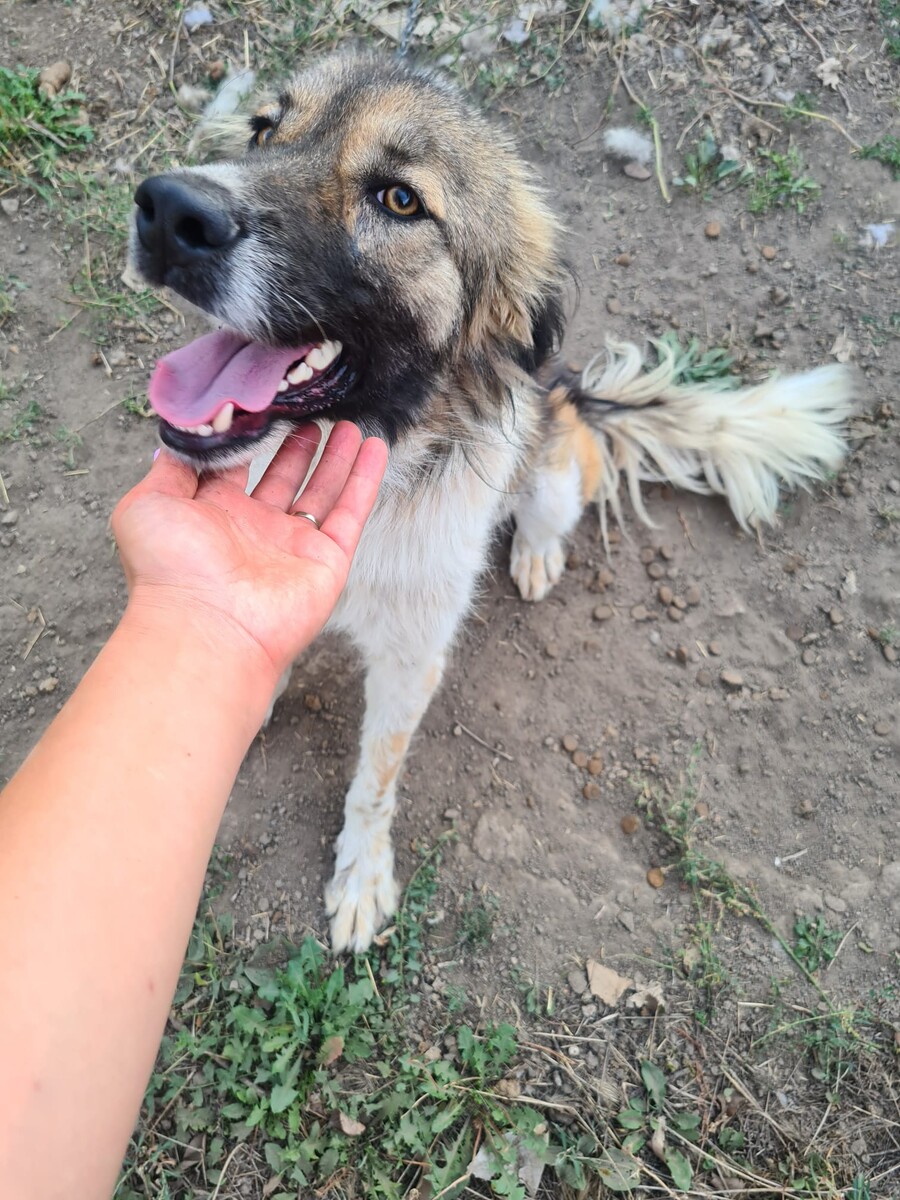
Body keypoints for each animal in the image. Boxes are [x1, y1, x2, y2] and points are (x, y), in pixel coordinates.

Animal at [129, 53, 855, 953]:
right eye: (264, 130)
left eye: (401, 200)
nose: (167, 210)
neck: (376, 461)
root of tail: (569, 392)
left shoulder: (412, 658)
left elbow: (375, 780)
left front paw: (361, 877)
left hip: (555, 470)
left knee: (551, 512)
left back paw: (537, 555)